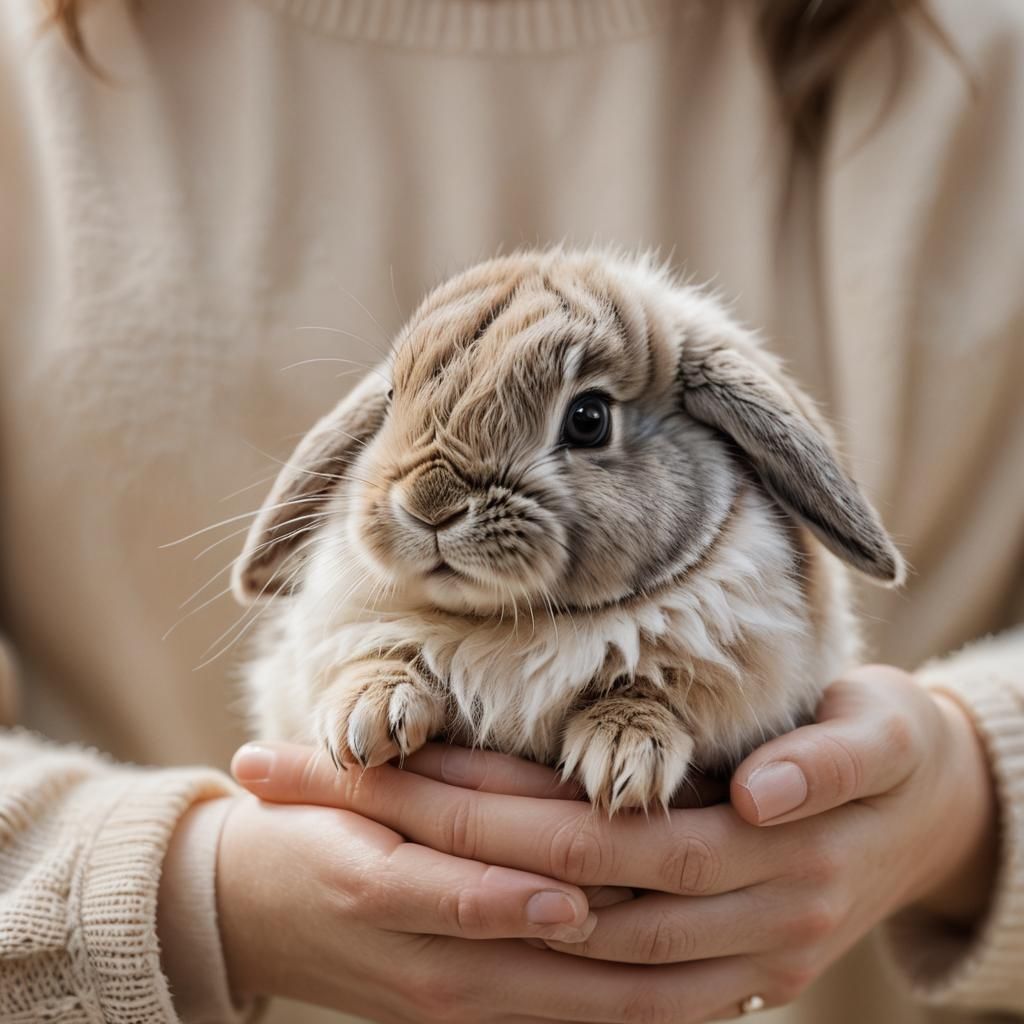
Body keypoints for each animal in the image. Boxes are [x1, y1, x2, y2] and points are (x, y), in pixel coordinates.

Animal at [232, 248, 903, 813]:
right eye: (393, 396)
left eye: (588, 418)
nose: (429, 505)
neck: (515, 625)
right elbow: (379, 655)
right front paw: (365, 724)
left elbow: (650, 691)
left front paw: (626, 759)